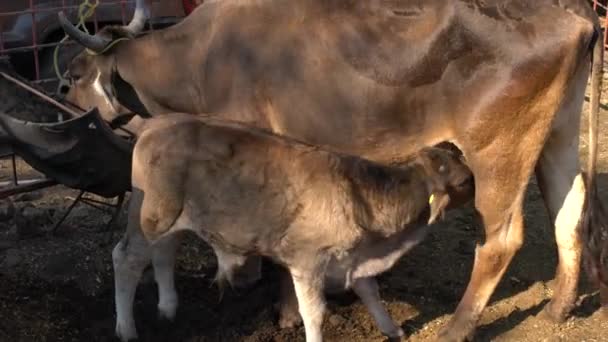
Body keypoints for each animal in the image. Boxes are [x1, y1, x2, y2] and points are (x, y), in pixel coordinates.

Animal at [113, 113, 476, 340]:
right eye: (464, 181)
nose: (481, 188)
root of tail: (156, 122)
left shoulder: (354, 258)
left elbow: (369, 290)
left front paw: (391, 329)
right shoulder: (307, 260)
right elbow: (313, 312)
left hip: (169, 218)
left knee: (163, 253)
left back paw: (168, 309)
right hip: (150, 216)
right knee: (127, 259)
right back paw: (126, 329)